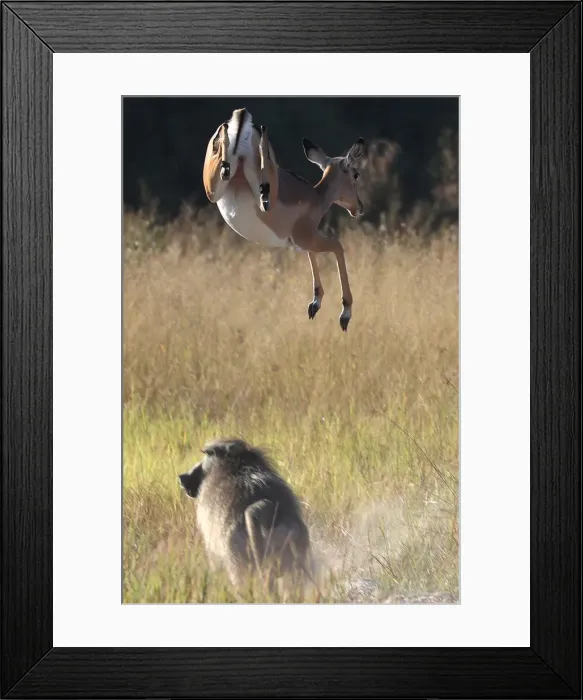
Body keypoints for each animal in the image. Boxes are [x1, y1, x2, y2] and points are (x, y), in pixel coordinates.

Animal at [203, 107, 365, 331]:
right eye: (356, 174)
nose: (360, 207)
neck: (317, 197)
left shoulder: (303, 243)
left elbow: (313, 256)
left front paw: (315, 304)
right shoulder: (307, 237)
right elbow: (338, 247)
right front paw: (344, 314)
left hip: (213, 186)